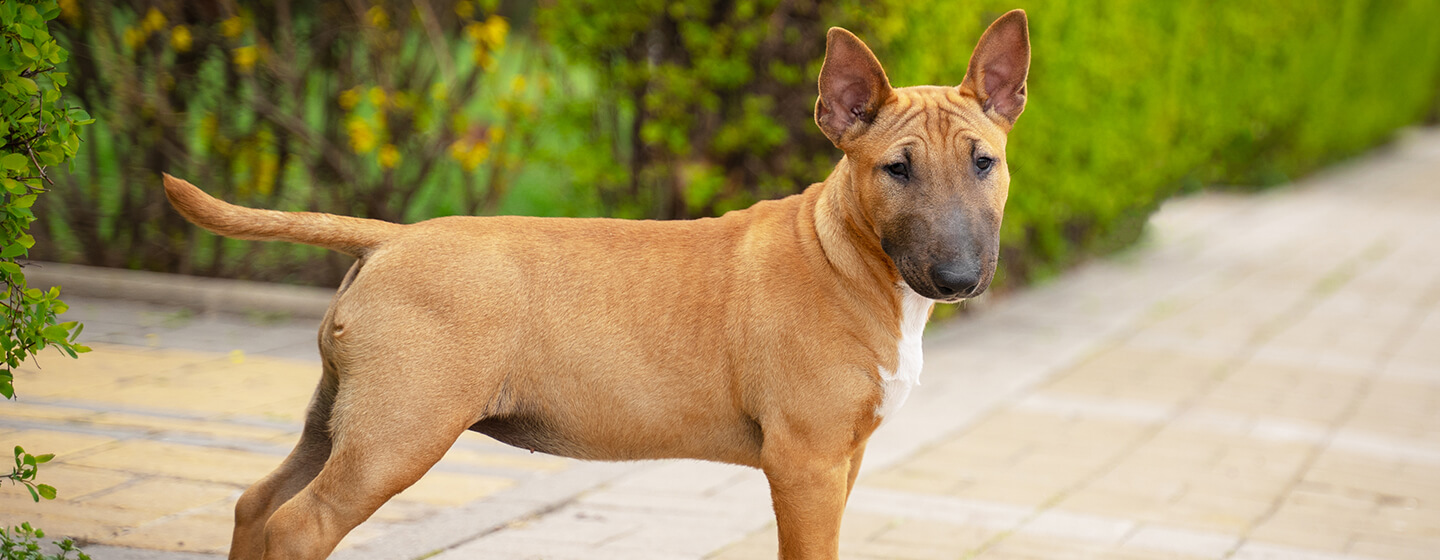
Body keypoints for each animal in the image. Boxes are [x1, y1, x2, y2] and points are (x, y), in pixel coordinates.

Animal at [163, 10, 1031, 555]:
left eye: (984, 161)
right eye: (896, 170)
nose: (958, 278)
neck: (844, 254)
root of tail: (391, 238)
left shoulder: (842, 461)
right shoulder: (806, 463)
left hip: (339, 419)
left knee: (255, 504)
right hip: (397, 433)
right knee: (298, 525)